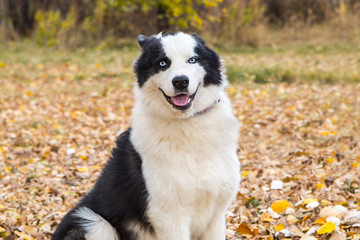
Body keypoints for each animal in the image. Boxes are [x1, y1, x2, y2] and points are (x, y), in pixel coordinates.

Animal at [52, 32, 240, 240]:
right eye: (162, 63)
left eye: (192, 60)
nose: (180, 81)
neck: (187, 122)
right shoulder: (169, 215)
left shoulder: (216, 215)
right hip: (93, 222)